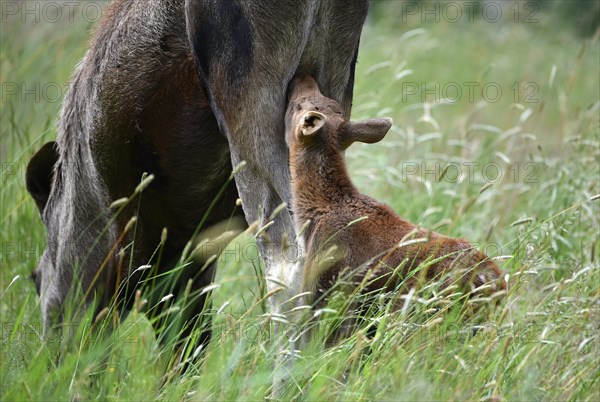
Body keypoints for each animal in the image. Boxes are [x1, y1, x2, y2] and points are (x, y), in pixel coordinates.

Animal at [27, 0, 370, 362]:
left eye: (35, 279)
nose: (50, 360)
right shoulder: (190, 263)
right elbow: (190, 341)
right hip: (327, 86)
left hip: (250, 101)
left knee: (288, 264)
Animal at [286, 75, 506, 318]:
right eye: (330, 102)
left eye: (298, 105)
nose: (303, 77)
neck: (319, 209)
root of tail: (498, 286)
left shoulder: (324, 283)